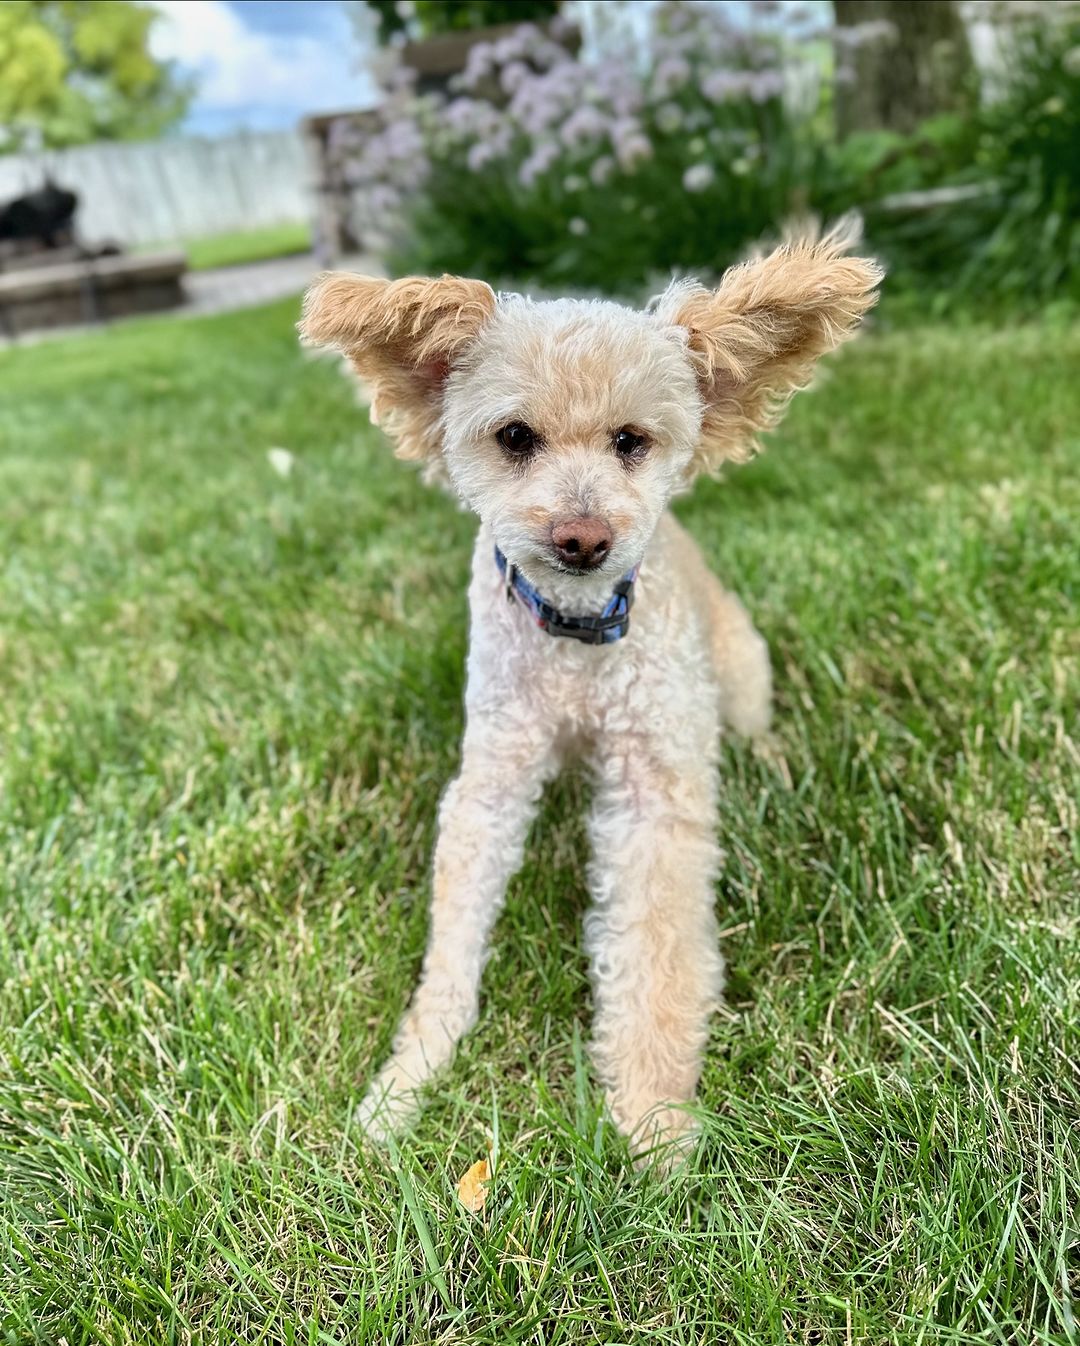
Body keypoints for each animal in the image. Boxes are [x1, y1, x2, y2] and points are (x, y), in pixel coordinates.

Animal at [298, 226, 878, 1162]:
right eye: (515, 436)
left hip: (739, 666)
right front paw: (407, 1081)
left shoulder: (655, 793)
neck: (574, 641)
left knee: (755, 724)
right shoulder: (492, 777)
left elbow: (655, 954)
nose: (582, 537)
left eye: (631, 440)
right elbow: (453, 942)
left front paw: (655, 1121)